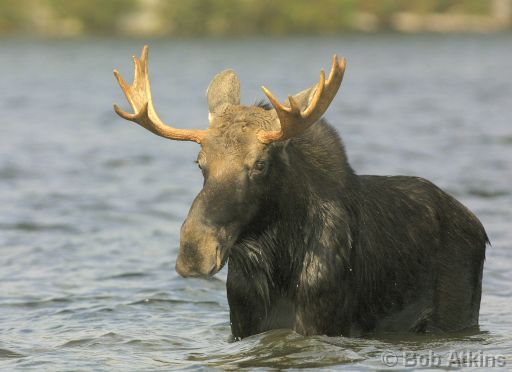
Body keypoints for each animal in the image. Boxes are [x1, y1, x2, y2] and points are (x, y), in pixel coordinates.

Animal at [114, 46, 490, 340]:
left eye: (260, 164)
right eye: (200, 162)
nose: (195, 250)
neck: (275, 262)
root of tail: (479, 228)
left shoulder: (321, 321)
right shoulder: (242, 323)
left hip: (455, 315)